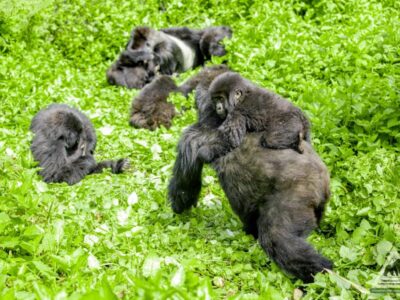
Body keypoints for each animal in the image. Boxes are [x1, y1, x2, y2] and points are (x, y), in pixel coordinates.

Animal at [167, 67, 332, 282]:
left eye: (219, 99)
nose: (218, 106)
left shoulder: (195, 134)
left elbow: (185, 187)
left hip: (297, 193)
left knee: (278, 238)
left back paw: (320, 269)